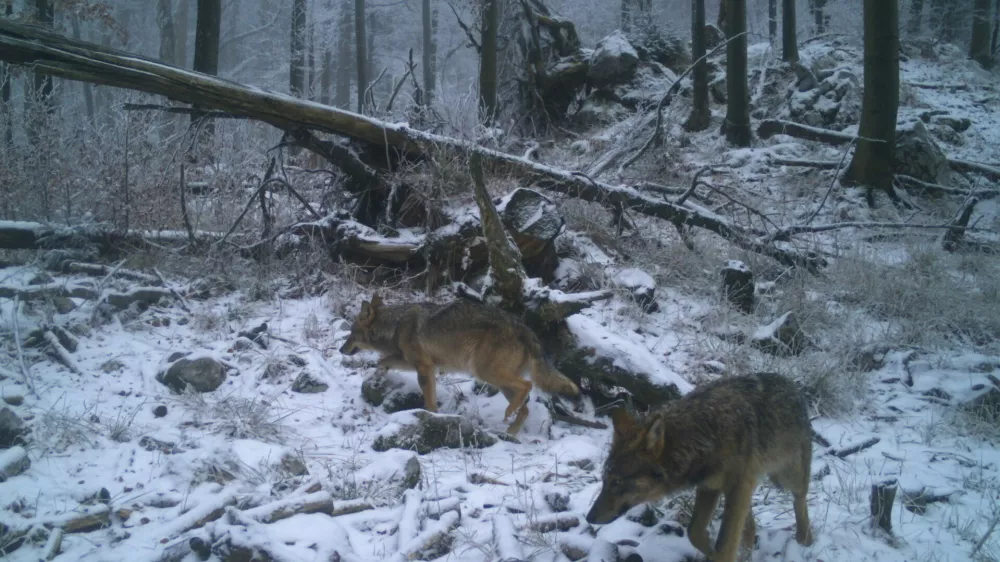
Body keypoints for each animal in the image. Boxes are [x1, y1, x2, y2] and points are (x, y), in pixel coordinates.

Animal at [336, 294, 580, 434]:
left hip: (485, 373)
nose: (340, 350)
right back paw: (510, 431)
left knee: (527, 387)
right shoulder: (418, 363)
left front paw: (432, 416)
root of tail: (524, 328)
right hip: (499, 383)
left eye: (351, 333)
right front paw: (379, 375)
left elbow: (429, 398)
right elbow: (382, 360)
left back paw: (509, 418)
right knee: (526, 406)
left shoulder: (423, 367)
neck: (396, 325)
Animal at [584, 372, 812, 560]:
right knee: (750, 524)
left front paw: (718, 554)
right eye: (604, 480)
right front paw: (711, 550)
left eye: (617, 482)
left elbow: (725, 546)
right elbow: (694, 532)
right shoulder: (710, 486)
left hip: (786, 477)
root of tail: (793, 386)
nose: (589, 517)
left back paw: (804, 539)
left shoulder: (737, 486)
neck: (704, 436)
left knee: (799, 498)